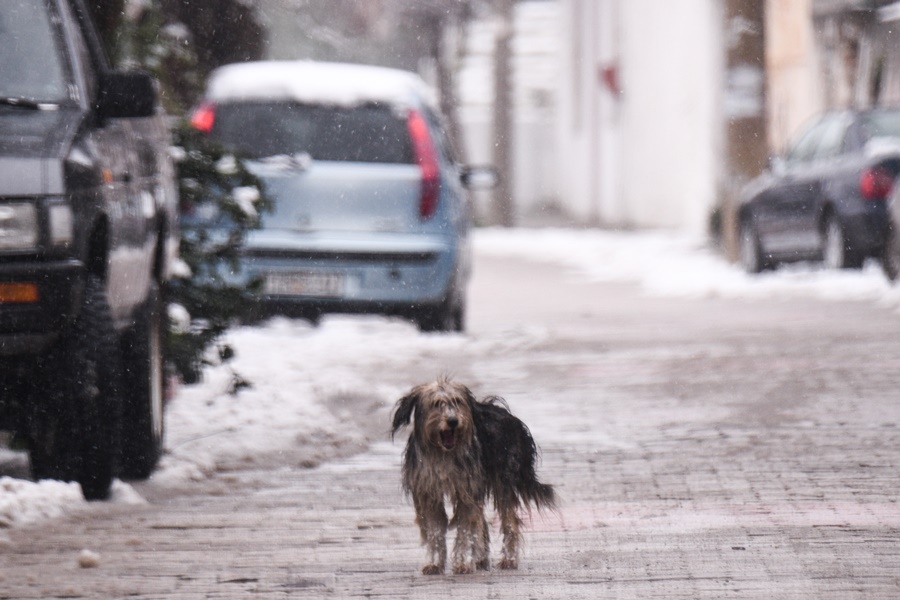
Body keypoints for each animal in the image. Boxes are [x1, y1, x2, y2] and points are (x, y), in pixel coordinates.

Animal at [394, 378, 556, 576]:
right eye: (436, 404)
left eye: (457, 401)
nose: (453, 421)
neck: (443, 454)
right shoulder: (429, 493)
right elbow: (435, 530)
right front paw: (435, 563)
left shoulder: (466, 490)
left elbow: (465, 529)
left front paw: (463, 563)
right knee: (481, 521)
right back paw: (481, 558)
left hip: (504, 480)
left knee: (509, 522)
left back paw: (508, 559)